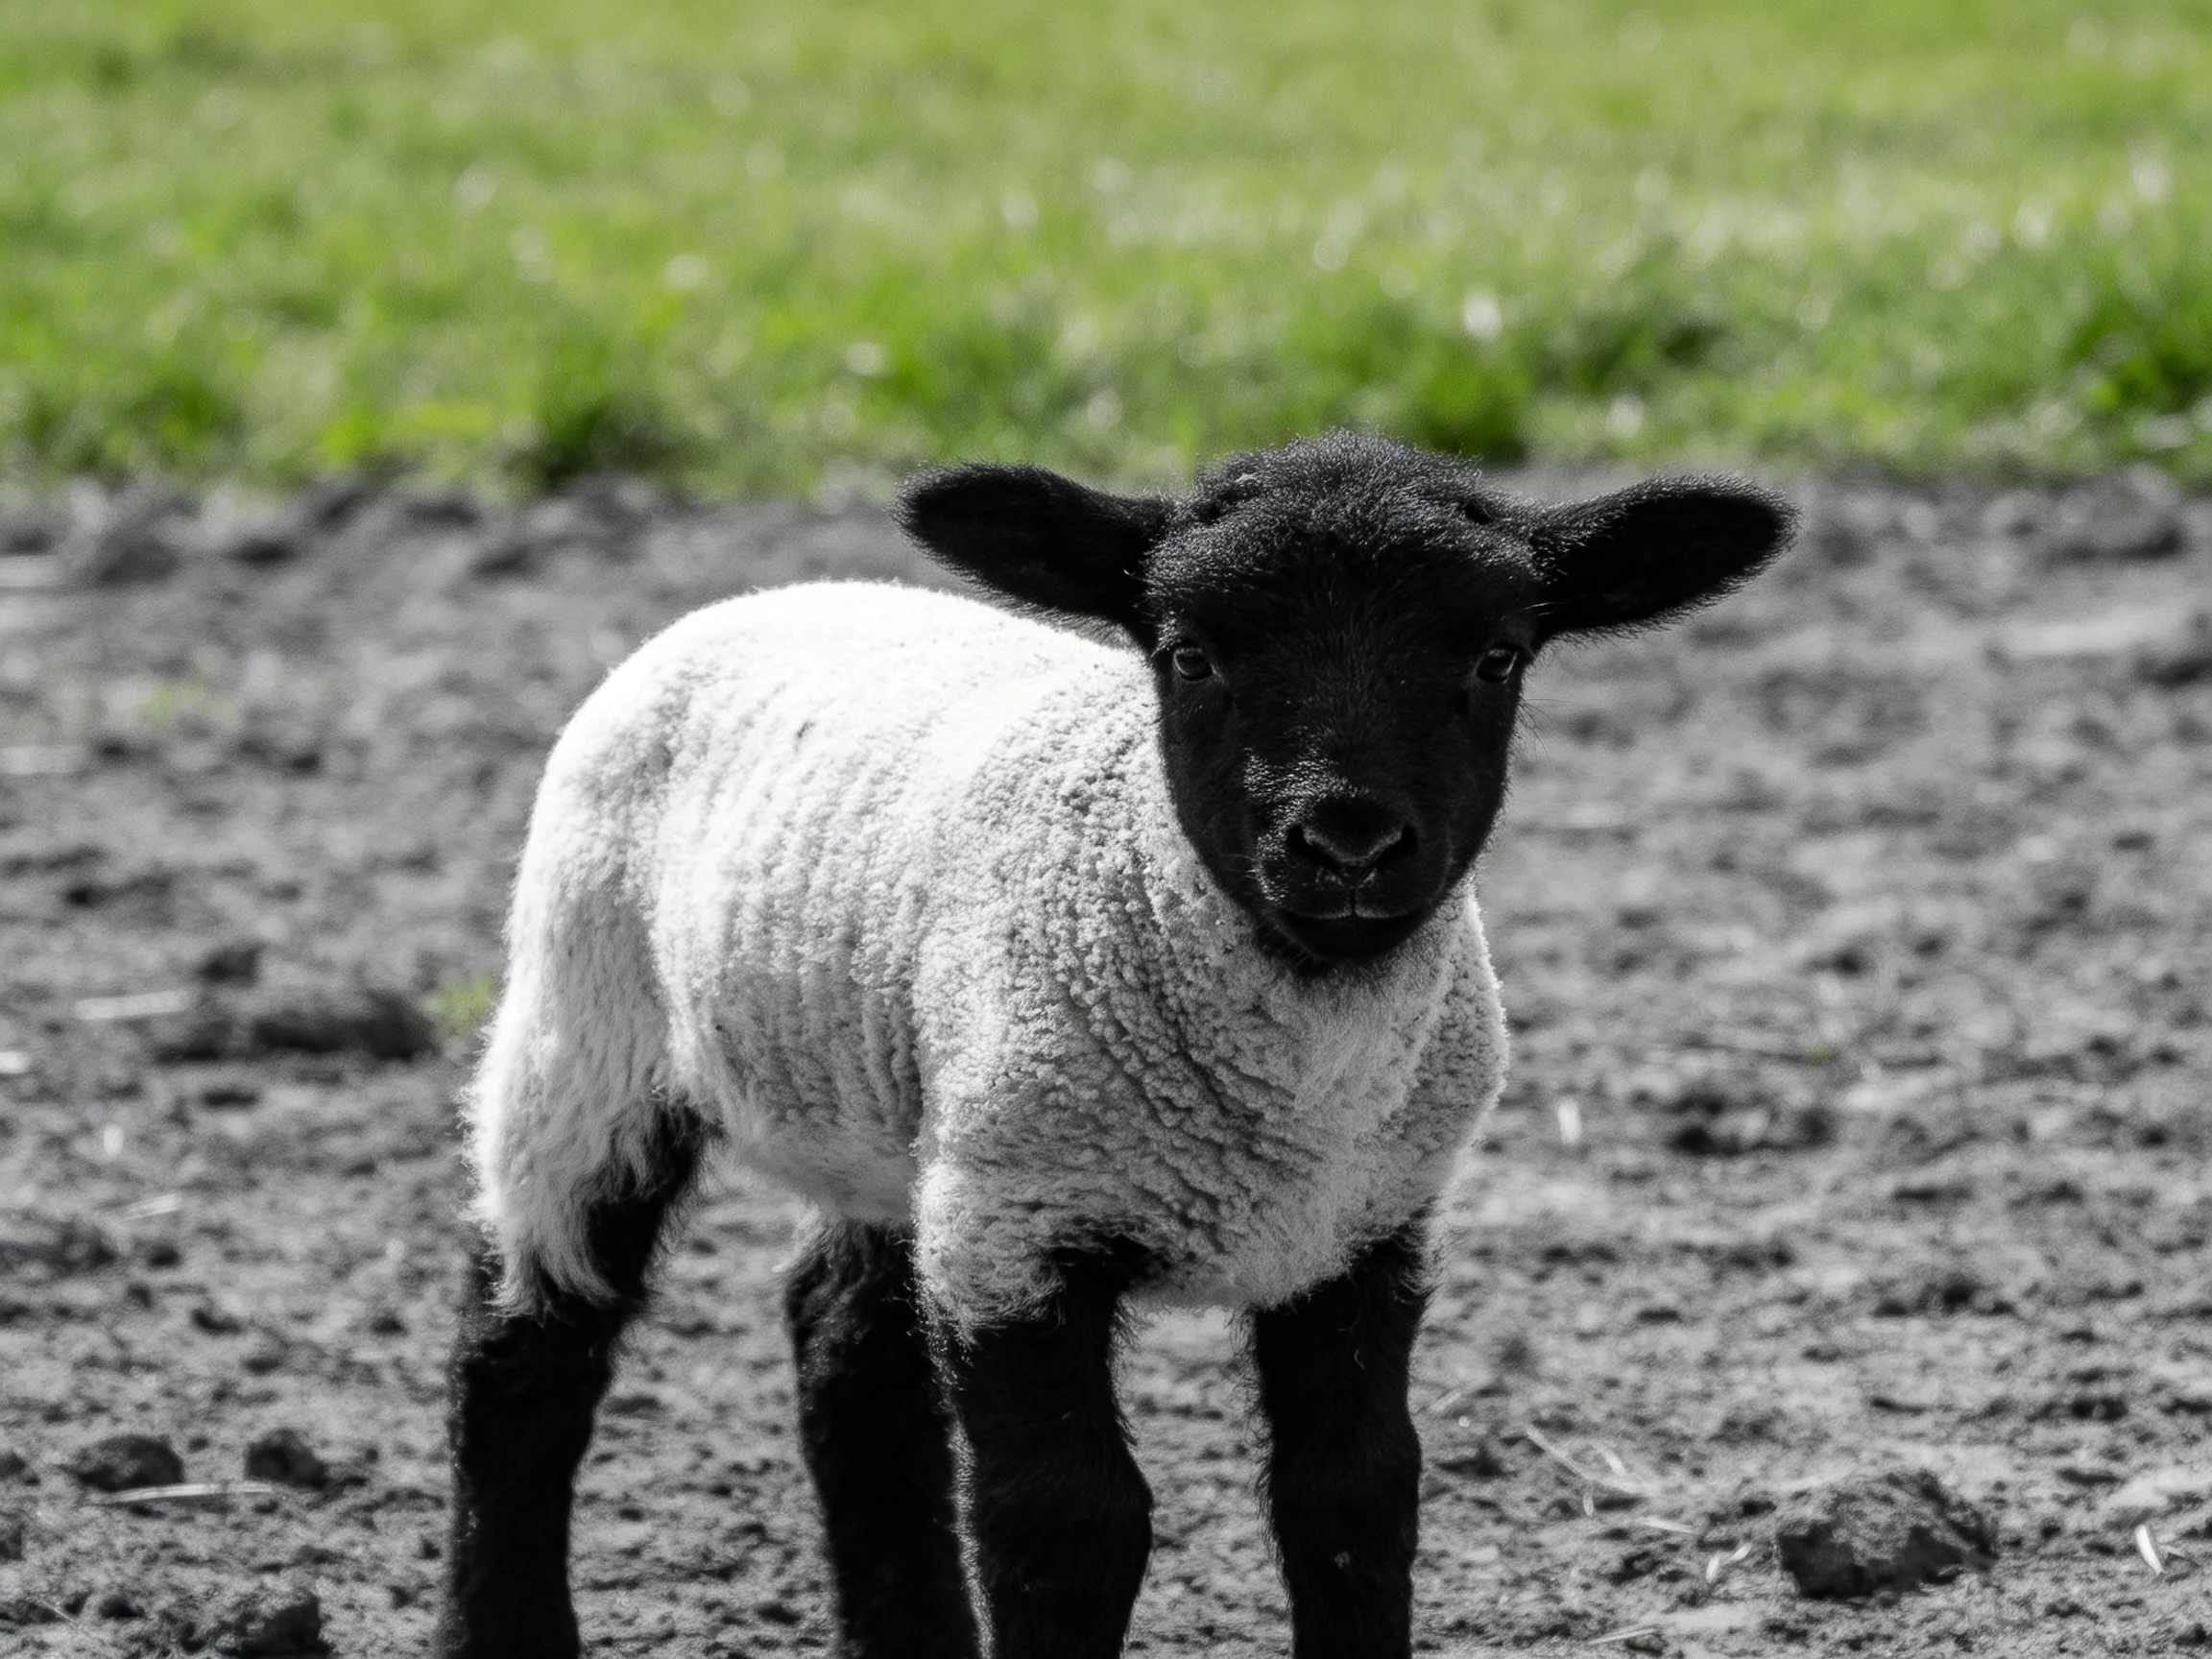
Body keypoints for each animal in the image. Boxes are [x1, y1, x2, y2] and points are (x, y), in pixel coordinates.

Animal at [438, 431, 1793, 1659]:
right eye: (1191, 655)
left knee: (846, 1358)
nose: (1346, 843)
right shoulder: (1020, 1223)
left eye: (1497, 656)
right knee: (527, 1356)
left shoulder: (1370, 1230)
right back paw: (502, 1625)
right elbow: (1072, 1526)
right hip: (584, 1019)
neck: (1291, 1099)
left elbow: (1353, 1501)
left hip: (897, 1120)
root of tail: (781, 596)